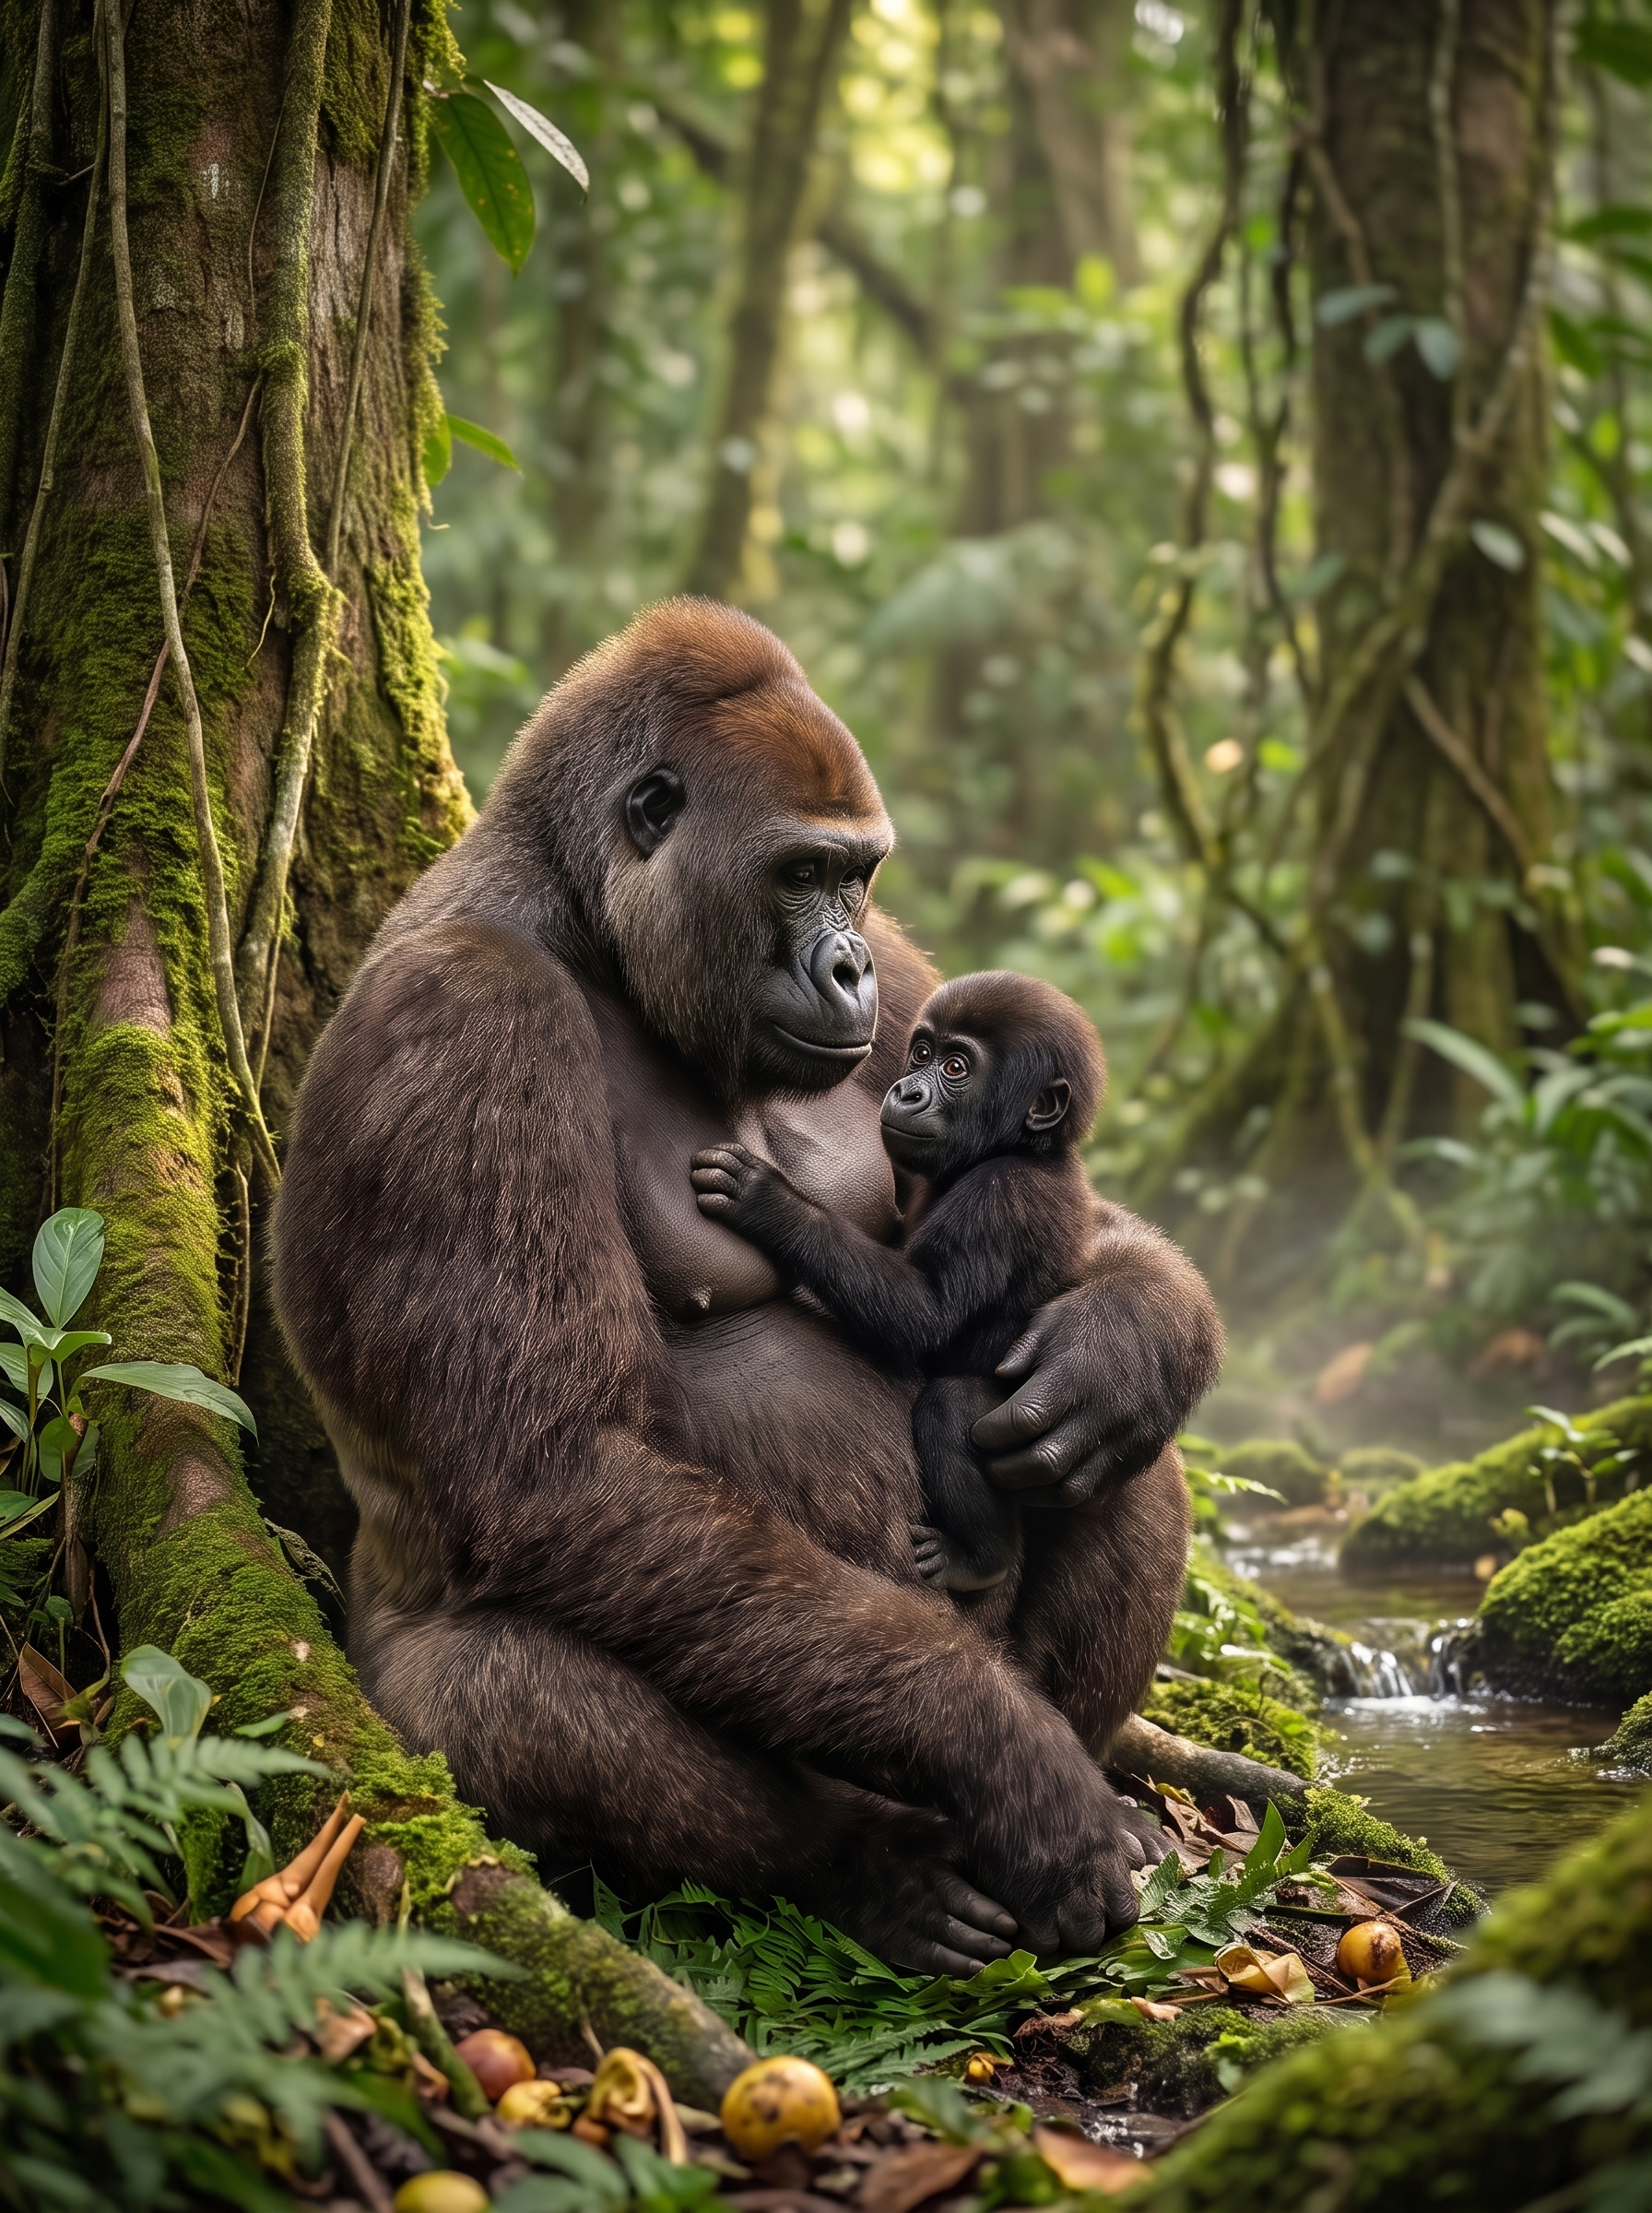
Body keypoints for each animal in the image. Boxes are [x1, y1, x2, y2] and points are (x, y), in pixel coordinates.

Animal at [690, 971, 1106, 1598]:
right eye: (923, 1054)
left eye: (955, 1068)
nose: (907, 1091)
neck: (1026, 1146)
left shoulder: (1002, 1195)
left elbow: (924, 1314)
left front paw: (773, 1203)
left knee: (949, 1409)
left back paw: (981, 1558)